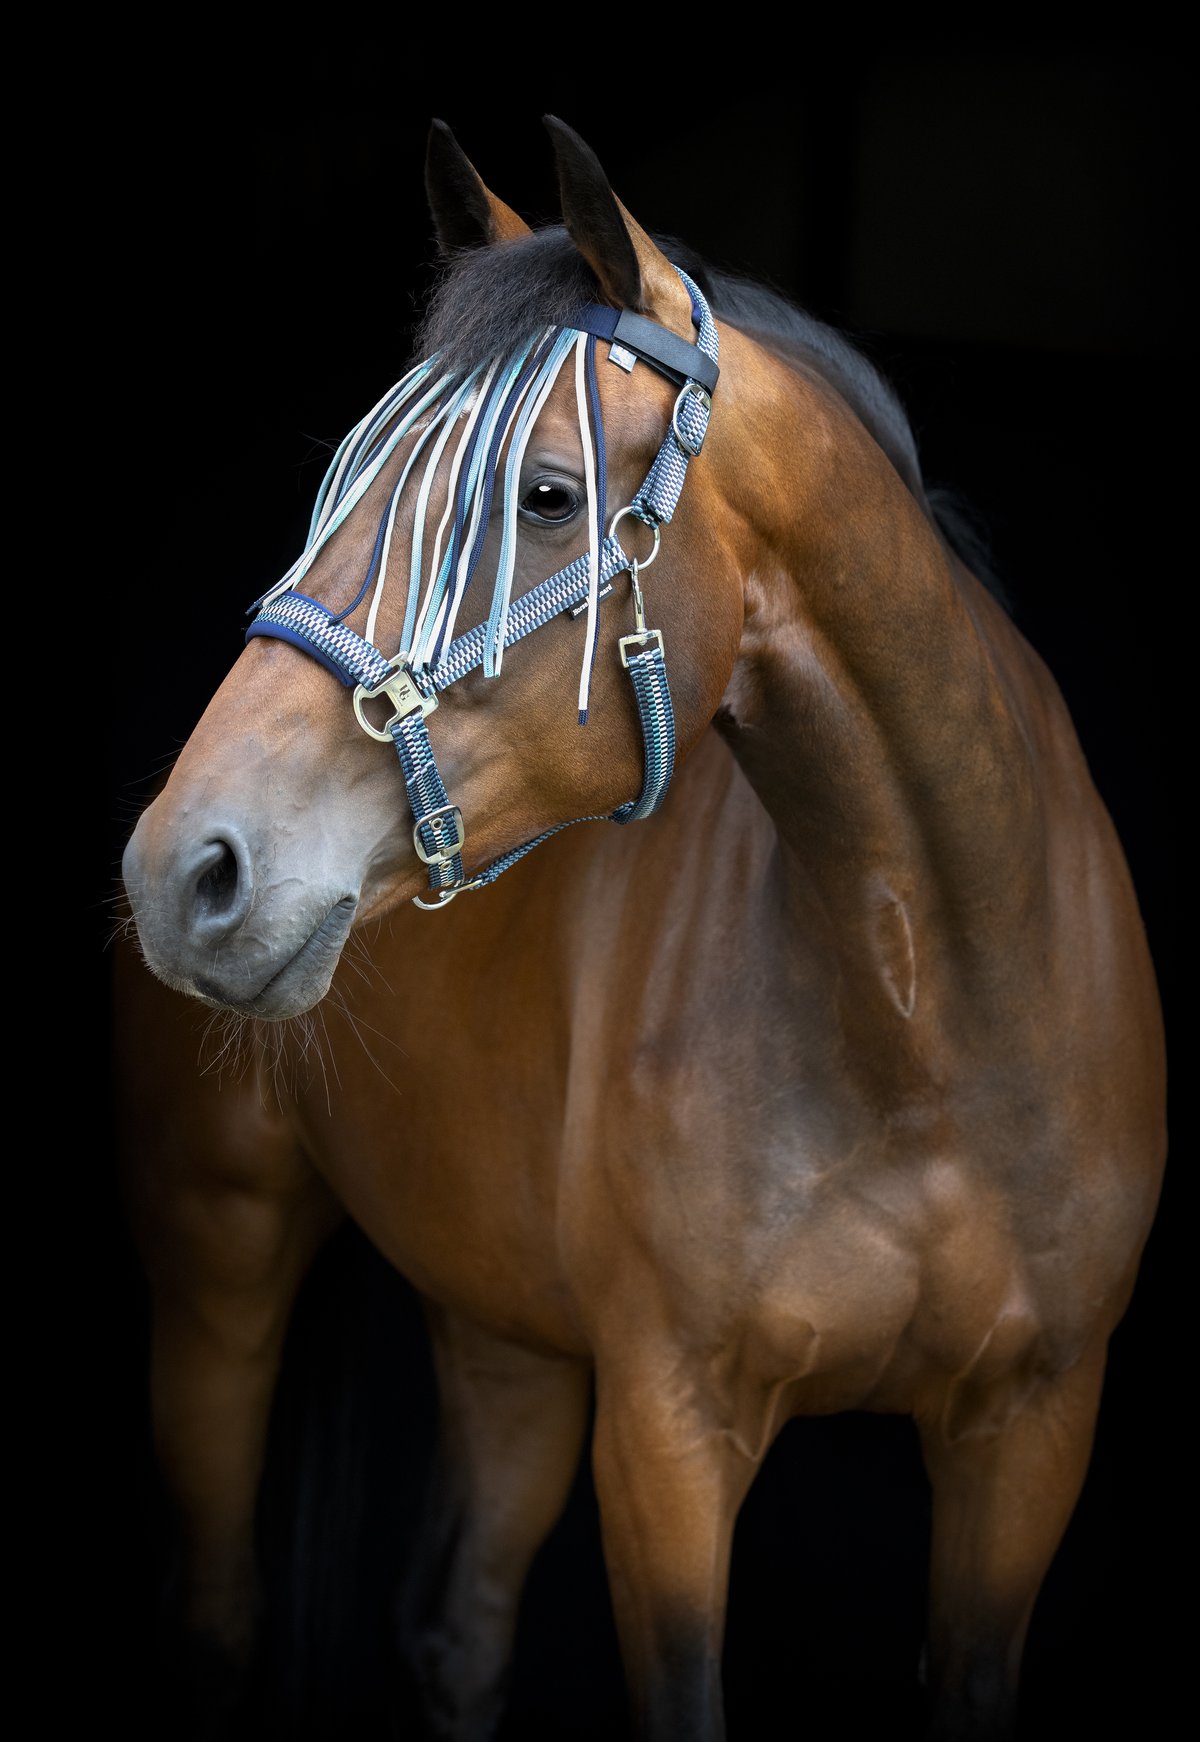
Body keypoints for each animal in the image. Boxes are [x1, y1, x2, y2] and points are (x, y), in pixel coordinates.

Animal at [114, 115, 1168, 1740]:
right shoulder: (670, 1434)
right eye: (345, 479)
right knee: (222, 1608)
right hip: (220, 1246)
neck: (931, 1023)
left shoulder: (1031, 1435)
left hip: (502, 1320)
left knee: (458, 1623)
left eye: (547, 495)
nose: (189, 865)